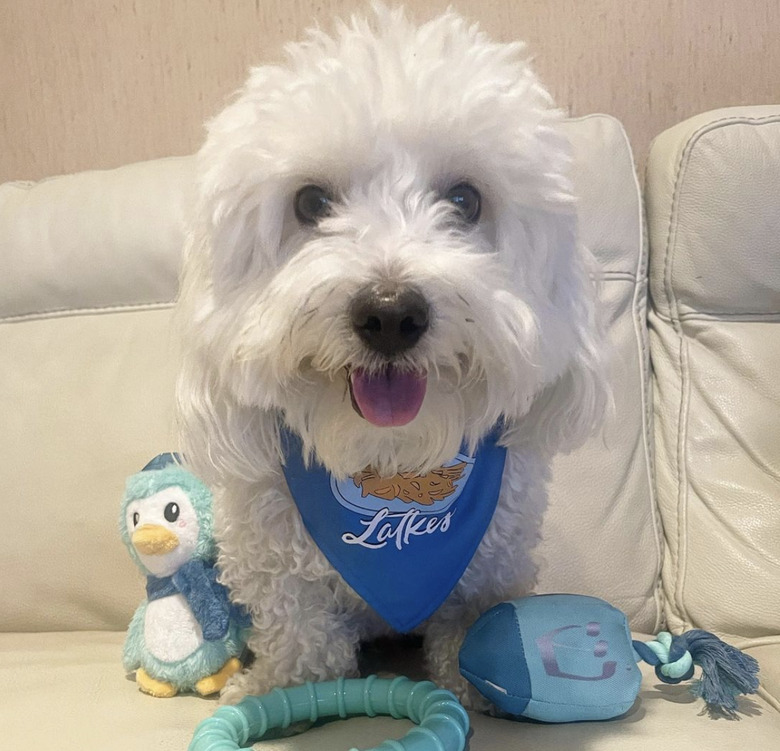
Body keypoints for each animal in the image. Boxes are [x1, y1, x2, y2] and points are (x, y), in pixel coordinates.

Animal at [175, 4, 604, 712]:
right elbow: (299, 626)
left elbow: (469, 620)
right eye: (310, 202)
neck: (388, 459)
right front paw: (280, 688)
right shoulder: (271, 553)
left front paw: (474, 683)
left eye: (464, 200)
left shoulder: (491, 556)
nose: (390, 314)